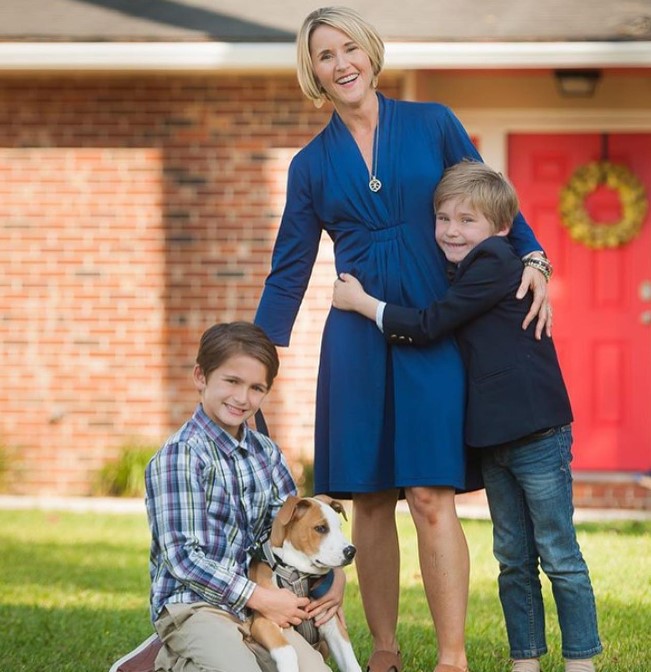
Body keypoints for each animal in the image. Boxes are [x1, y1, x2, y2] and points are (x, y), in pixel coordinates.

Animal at [248, 494, 364, 672]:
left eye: (340, 527)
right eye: (321, 528)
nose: (352, 551)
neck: (297, 574)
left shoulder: (334, 627)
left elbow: (352, 663)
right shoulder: (264, 622)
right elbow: (287, 650)